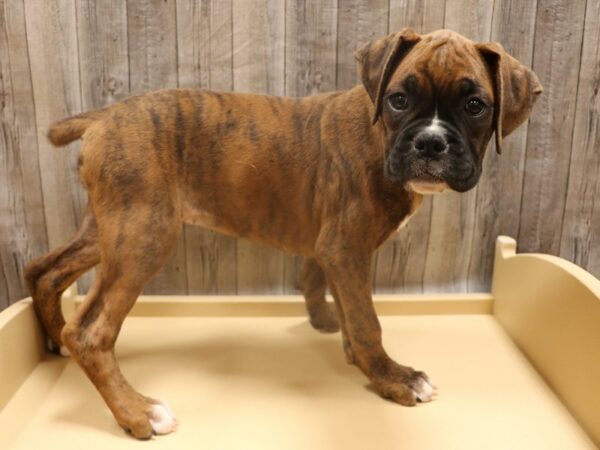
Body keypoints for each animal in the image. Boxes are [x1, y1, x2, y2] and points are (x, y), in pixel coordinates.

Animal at [23, 29, 540, 440]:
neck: (378, 134)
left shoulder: (333, 251)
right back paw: (137, 413)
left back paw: (55, 344)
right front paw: (393, 378)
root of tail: (105, 116)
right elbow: (367, 320)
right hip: (143, 236)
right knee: (90, 331)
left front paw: (346, 345)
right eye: (398, 99)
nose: (430, 143)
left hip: (109, 229)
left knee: (44, 271)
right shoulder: (344, 247)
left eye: (475, 106)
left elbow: (336, 298)